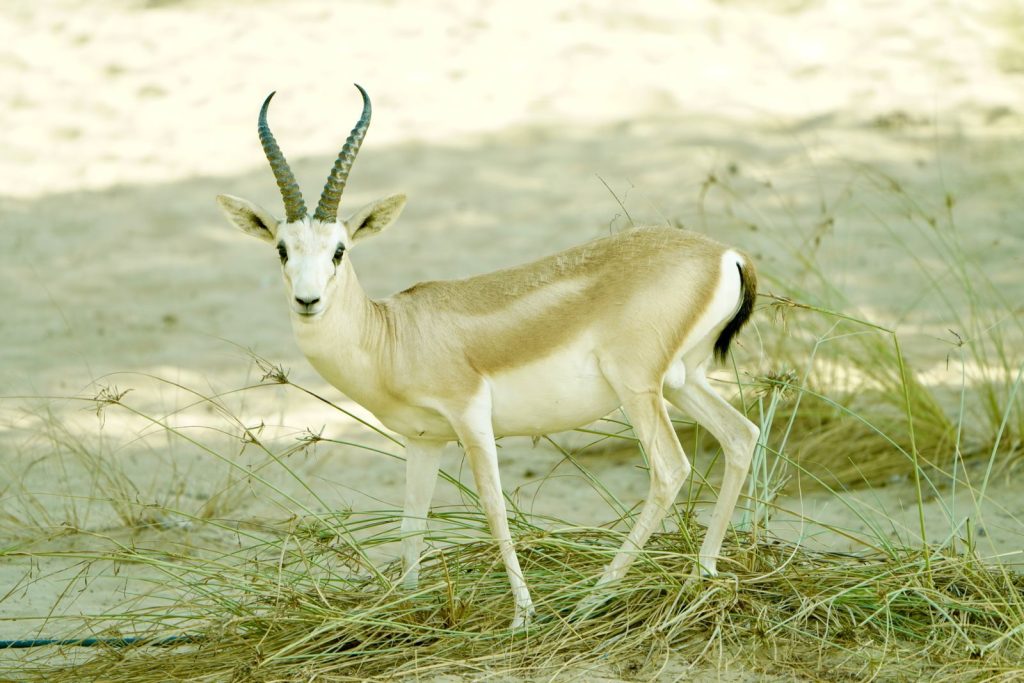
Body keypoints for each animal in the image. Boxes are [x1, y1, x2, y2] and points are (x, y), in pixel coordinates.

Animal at [217, 85, 760, 629]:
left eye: (339, 250)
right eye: (282, 250)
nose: (307, 301)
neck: (394, 336)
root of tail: (725, 254)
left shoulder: (471, 418)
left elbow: (494, 510)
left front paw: (523, 616)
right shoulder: (423, 441)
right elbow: (411, 522)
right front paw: (405, 608)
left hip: (639, 387)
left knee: (670, 470)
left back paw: (592, 598)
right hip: (682, 381)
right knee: (741, 436)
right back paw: (702, 576)